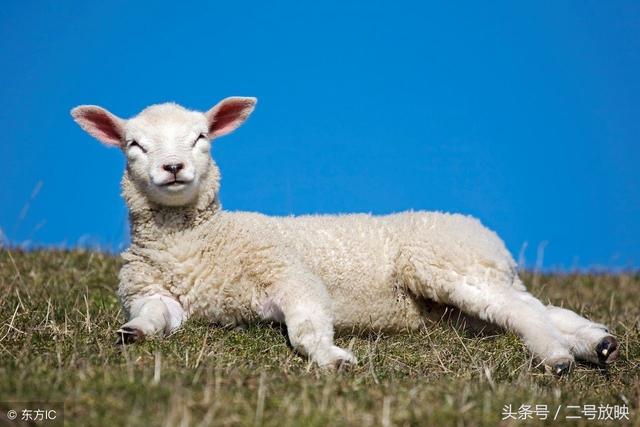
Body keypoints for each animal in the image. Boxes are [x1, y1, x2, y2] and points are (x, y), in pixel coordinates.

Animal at [71, 97, 620, 374]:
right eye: (134, 144)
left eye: (201, 137)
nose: (173, 167)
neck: (200, 243)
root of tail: (489, 238)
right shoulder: (154, 291)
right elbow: (154, 318)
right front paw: (132, 334)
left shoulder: (288, 273)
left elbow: (307, 327)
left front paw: (331, 358)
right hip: (464, 297)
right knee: (533, 308)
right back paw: (596, 343)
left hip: (445, 261)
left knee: (523, 312)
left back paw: (557, 357)